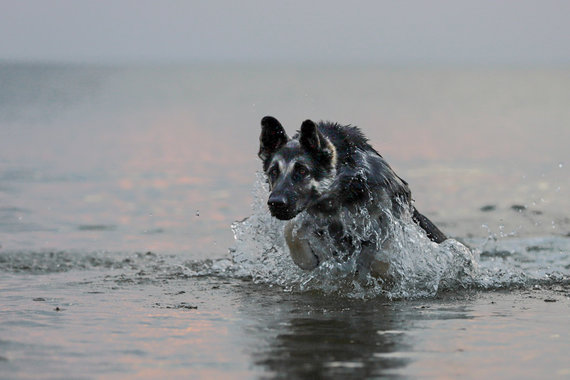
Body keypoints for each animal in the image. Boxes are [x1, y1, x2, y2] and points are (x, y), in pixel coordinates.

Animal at [255, 115, 446, 274]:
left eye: (302, 171)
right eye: (273, 172)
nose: (275, 203)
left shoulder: (395, 206)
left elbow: (384, 247)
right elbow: (290, 229)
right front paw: (306, 259)